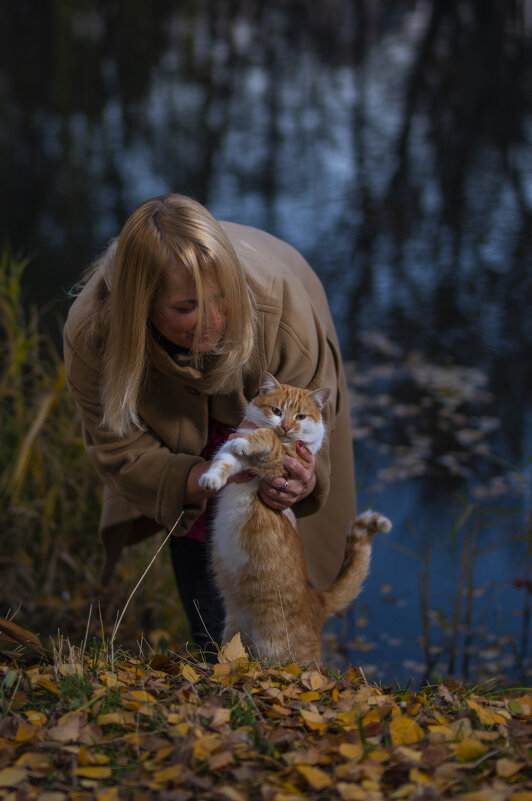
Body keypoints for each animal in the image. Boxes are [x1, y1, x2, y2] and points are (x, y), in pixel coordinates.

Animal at [200, 372, 390, 664]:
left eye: (300, 417)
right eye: (277, 411)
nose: (287, 427)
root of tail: (316, 600)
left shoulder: (284, 461)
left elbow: (266, 437)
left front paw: (250, 442)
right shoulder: (233, 457)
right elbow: (224, 461)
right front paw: (210, 479)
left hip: (283, 654)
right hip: (235, 631)